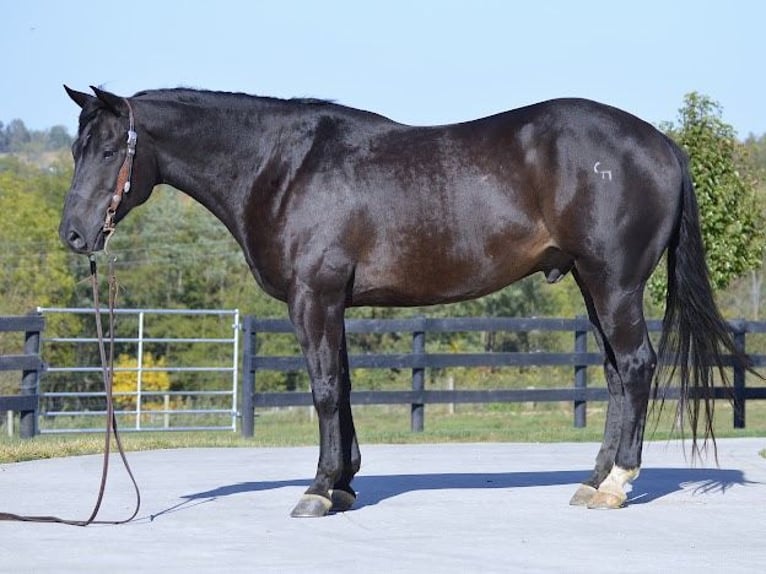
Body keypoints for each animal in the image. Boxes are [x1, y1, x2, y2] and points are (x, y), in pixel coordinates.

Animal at [63, 85, 748, 516]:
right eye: (74, 149)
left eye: (108, 149)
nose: (73, 234)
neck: (282, 167)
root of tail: (662, 144)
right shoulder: (332, 304)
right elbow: (341, 387)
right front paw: (343, 485)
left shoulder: (313, 299)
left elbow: (324, 391)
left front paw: (318, 491)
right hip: (589, 282)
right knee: (613, 374)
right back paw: (593, 480)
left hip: (614, 283)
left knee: (635, 367)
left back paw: (616, 485)